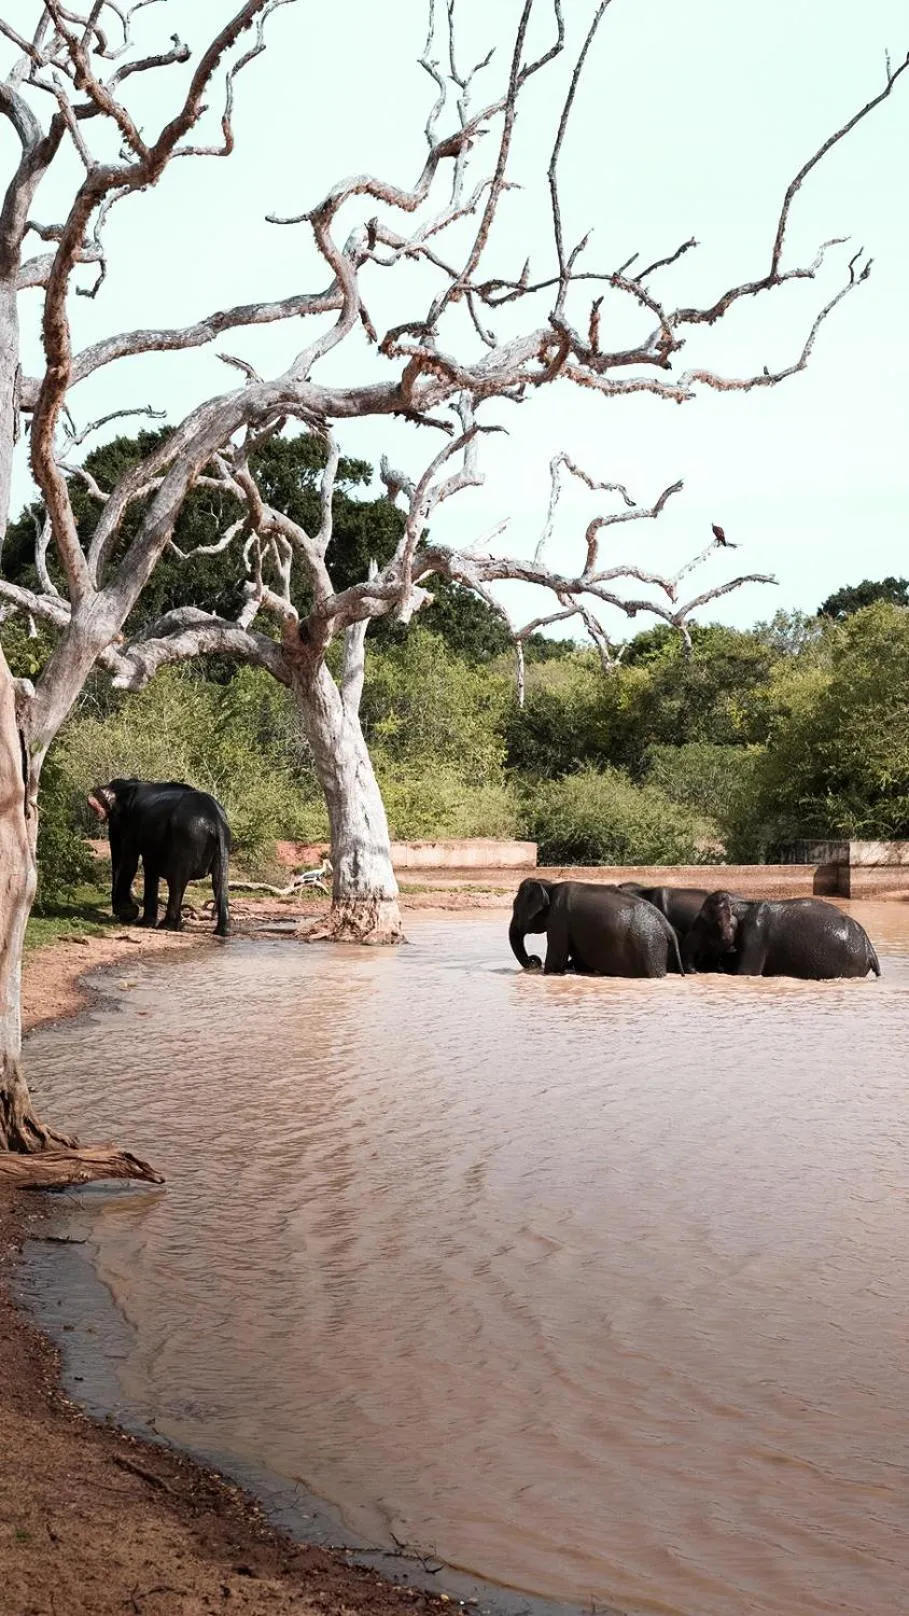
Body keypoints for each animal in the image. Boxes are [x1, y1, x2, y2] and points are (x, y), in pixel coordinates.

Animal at [88, 778, 232, 936]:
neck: (129, 785)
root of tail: (215, 820)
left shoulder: (130, 823)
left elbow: (129, 862)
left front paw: (132, 914)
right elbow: (149, 865)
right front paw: (141, 920)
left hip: (186, 836)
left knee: (177, 880)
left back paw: (167, 925)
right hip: (220, 841)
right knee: (219, 879)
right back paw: (222, 931)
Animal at [509, 878, 684, 977]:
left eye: (515, 910)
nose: (534, 960)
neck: (550, 886)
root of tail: (667, 928)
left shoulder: (559, 918)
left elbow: (555, 961)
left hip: (649, 947)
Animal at [681, 891, 881, 979]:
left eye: (703, 924)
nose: (695, 971)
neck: (739, 903)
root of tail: (869, 947)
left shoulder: (755, 937)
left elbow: (745, 973)